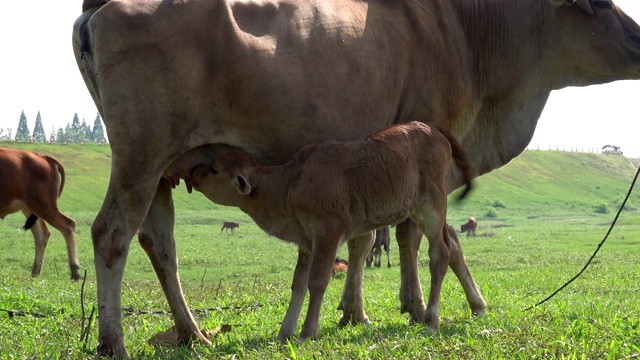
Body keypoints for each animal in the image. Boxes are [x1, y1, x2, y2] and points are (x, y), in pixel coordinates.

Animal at [0, 148, 80, 280]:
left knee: (68, 225)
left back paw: (75, 272)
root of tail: (45, 157)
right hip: (31, 208)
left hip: (44, 206)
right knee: (42, 234)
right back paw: (35, 272)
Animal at [190, 122, 484, 342]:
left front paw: (307, 332)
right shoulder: (307, 241)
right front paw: (285, 331)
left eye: (214, 169)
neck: (292, 182)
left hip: (431, 209)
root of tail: (430, 128)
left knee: (440, 253)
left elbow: (318, 282)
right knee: (450, 247)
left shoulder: (328, 234)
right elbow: (298, 283)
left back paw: (431, 320)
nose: (194, 170)